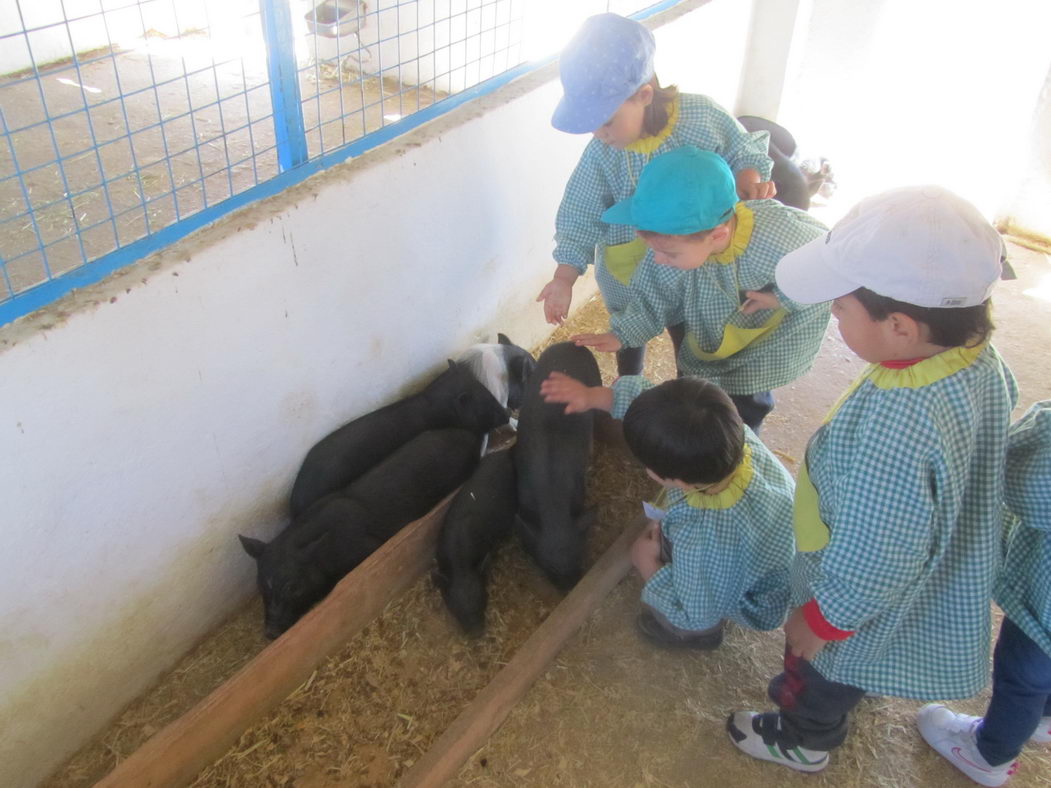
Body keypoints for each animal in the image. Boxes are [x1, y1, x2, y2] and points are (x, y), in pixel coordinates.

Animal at [241, 428, 481, 638]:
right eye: (260, 585)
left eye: (293, 587)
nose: (270, 633)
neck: (325, 555)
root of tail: (469, 435)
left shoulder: (367, 548)